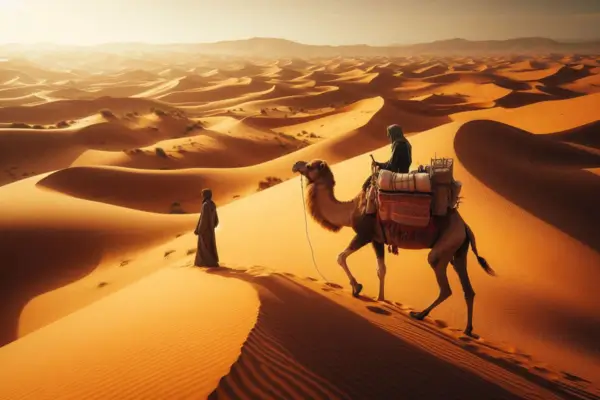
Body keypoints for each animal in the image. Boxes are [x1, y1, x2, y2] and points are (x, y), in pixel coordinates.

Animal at [292, 158, 494, 336]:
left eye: (309, 166)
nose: (295, 165)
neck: (350, 210)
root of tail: (465, 226)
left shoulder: (364, 234)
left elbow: (340, 256)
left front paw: (357, 287)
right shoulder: (377, 239)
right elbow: (381, 269)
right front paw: (380, 299)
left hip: (445, 246)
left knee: (444, 284)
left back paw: (420, 314)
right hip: (458, 250)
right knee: (467, 288)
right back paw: (467, 330)